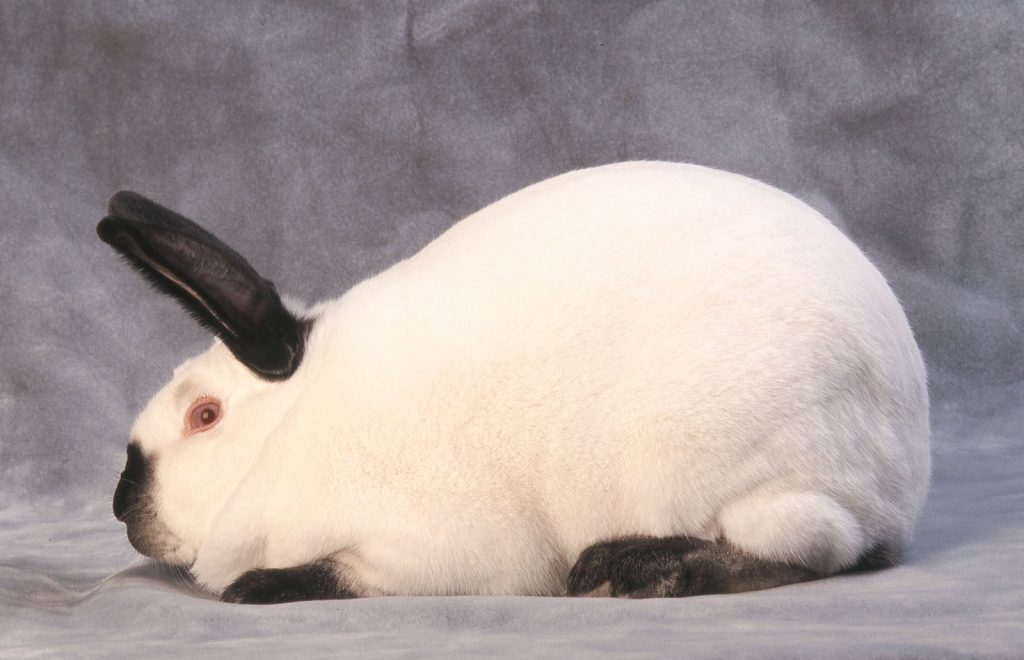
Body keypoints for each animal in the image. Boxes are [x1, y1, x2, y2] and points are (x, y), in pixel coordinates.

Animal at [99, 161, 930, 604]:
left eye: (205, 416)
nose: (120, 503)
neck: (293, 427)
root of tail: (904, 469)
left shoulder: (435, 549)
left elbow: (342, 571)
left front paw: (258, 586)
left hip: (726, 464)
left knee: (814, 548)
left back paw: (629, 568)